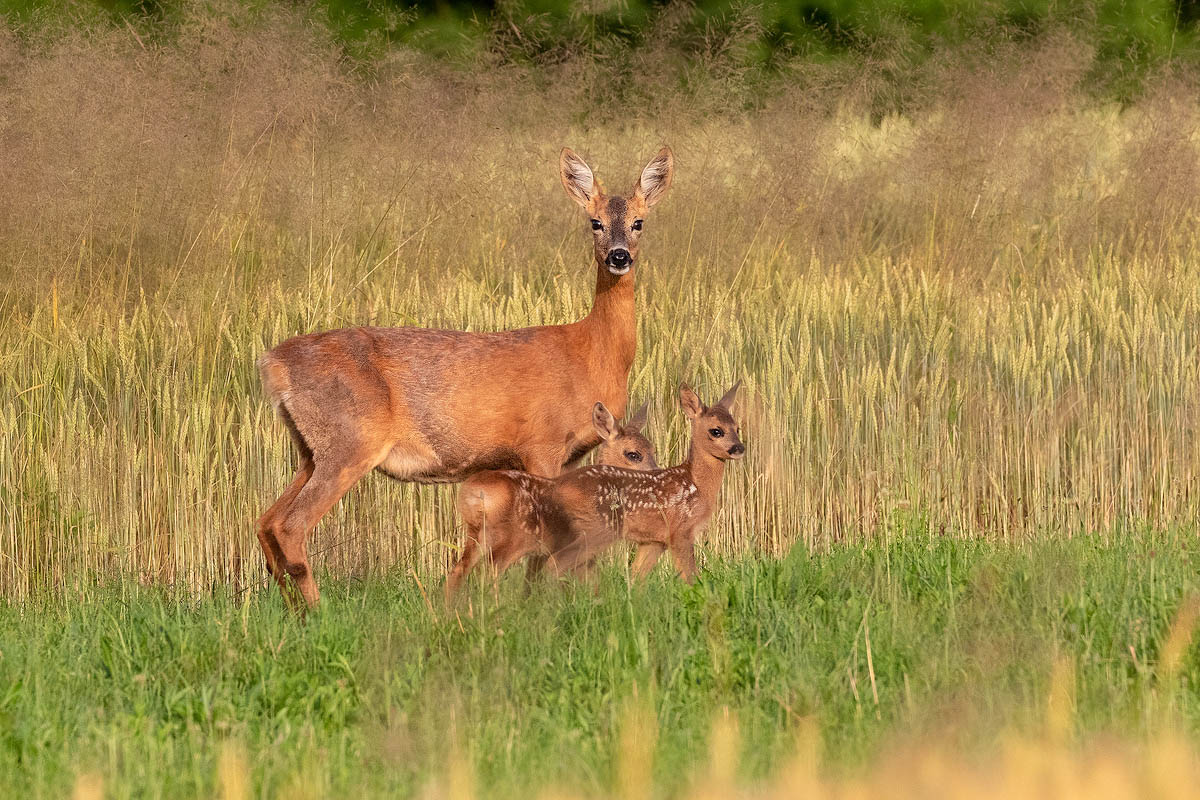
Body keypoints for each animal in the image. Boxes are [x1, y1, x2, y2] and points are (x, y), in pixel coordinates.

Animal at [444, 402, 657, 597]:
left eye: (653, 449)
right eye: (633, 454)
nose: (656, 473)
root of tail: (473, 493)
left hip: (477, 535)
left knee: (457, 573)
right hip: (509, 538)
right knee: (489, 572)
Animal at [544, 381, 739, 582]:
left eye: (737, 428)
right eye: (716, 431)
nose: (739, 447)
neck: (696, 484)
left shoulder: (654, 541)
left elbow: (636, 578)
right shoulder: (680, 532)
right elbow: (691, 577)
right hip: (598, 528)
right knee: (555, 563)